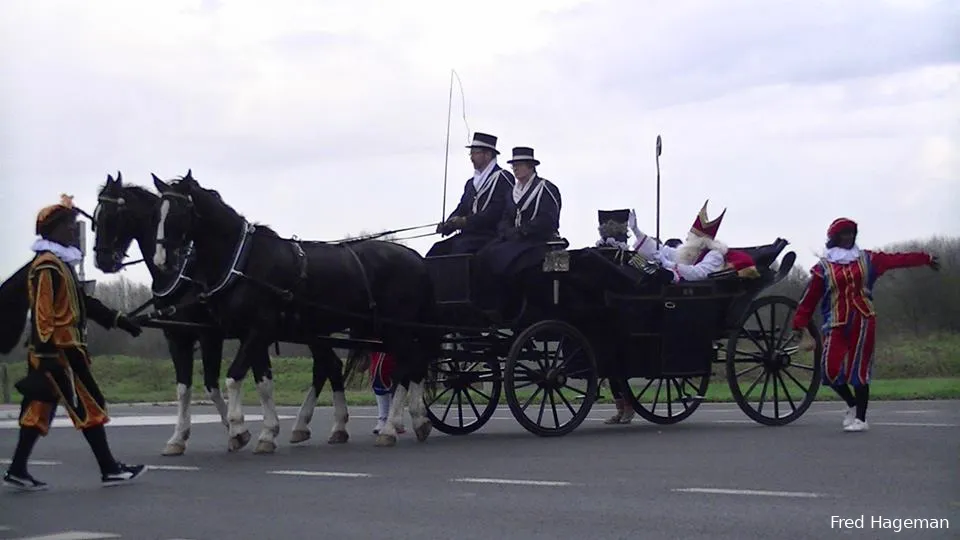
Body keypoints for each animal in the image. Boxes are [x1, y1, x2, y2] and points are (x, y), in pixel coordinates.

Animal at [94, 175, 352, 454]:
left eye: (113, 215)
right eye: (96, 217)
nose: (102, 260)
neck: (184, 275)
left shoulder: (210, 335)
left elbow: (211, 383)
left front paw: (236, 429)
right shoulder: (177, 336)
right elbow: (184, 388)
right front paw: (179, 437)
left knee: (328, 366)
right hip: (311, 331)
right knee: (330, 366)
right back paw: (310, 426)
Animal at [153, 172, 438, 448]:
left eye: (180, 211)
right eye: (159, 213)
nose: (162, 261)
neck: (243, 261)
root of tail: (418, 260)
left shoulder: (255, 330)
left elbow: (233, 377)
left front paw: (239, 429)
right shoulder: (249, 334)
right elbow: (262, 381)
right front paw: (265, 432)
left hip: (396, 328)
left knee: (407, 365)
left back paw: (391, 427)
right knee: (403, 364)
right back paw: (409, 421)